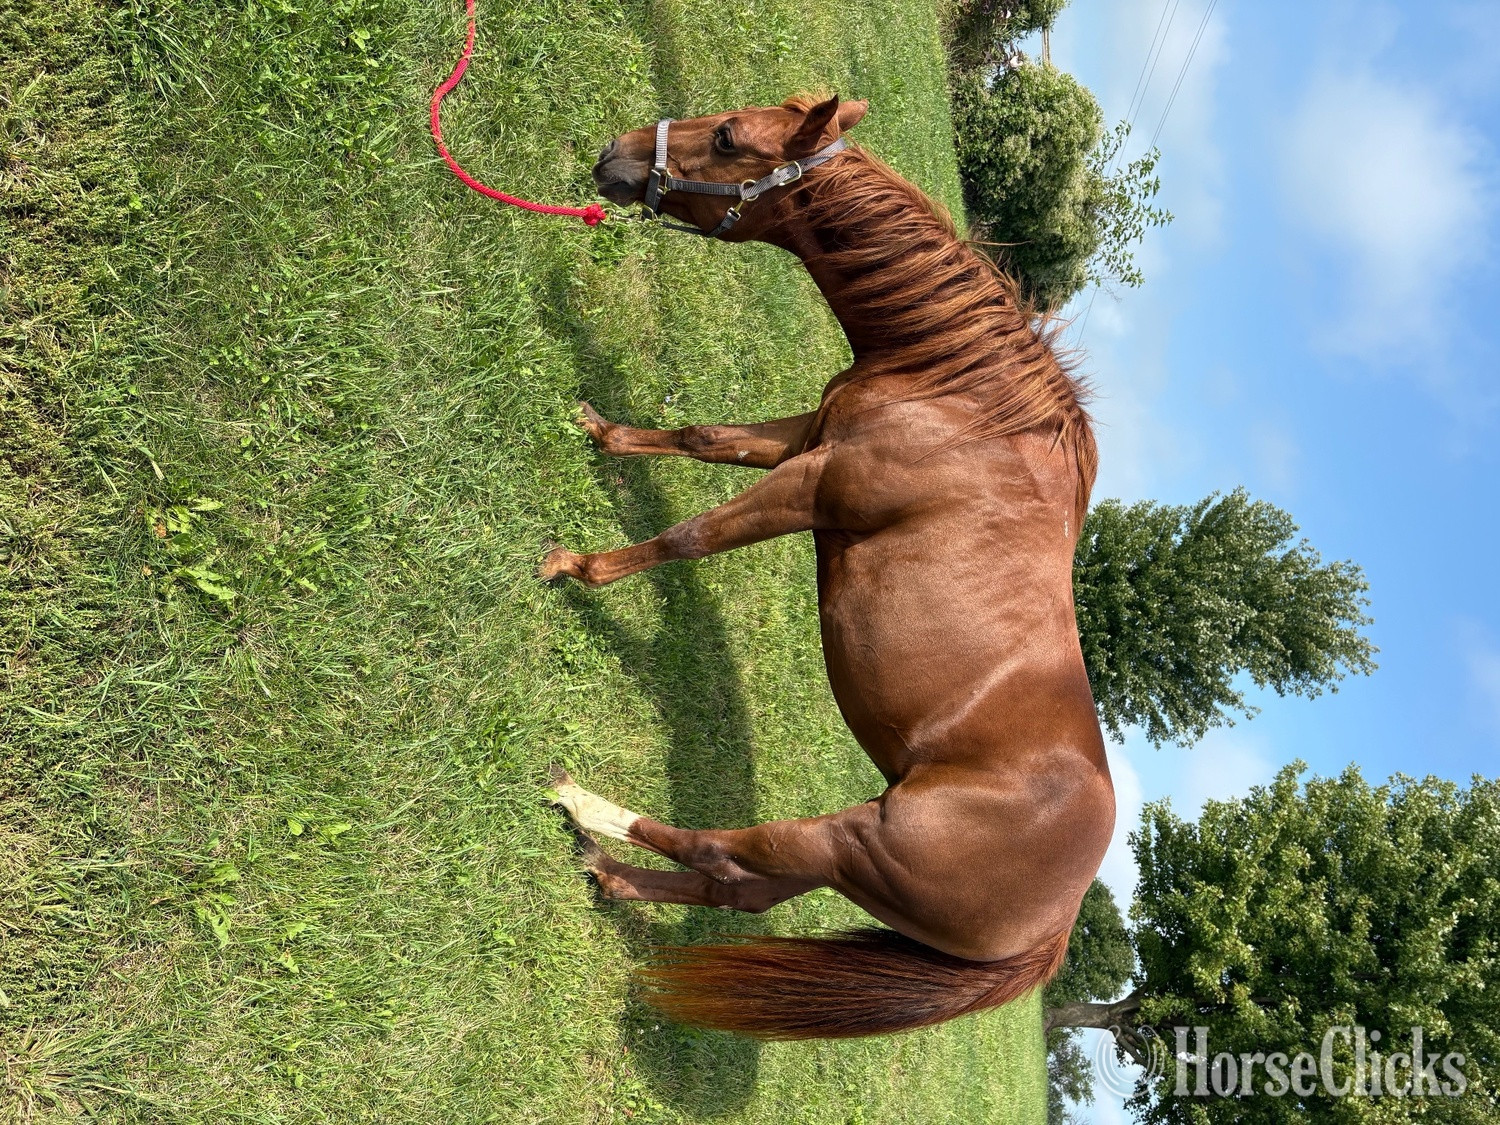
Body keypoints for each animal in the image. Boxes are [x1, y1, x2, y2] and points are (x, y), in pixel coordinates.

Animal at [542, 94, 1115, 1040]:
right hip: (841, 866)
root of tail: (1052, 934)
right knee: (737, 889)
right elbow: (705, 435)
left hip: (850, 841)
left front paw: (574, 565)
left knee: (720, 851)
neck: (961, 400)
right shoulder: (808, 433)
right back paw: (607, 873)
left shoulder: (813, 484)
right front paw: (603, 431)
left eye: (728, 138)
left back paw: (584, 804)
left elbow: (690, 537)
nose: (612, 156)